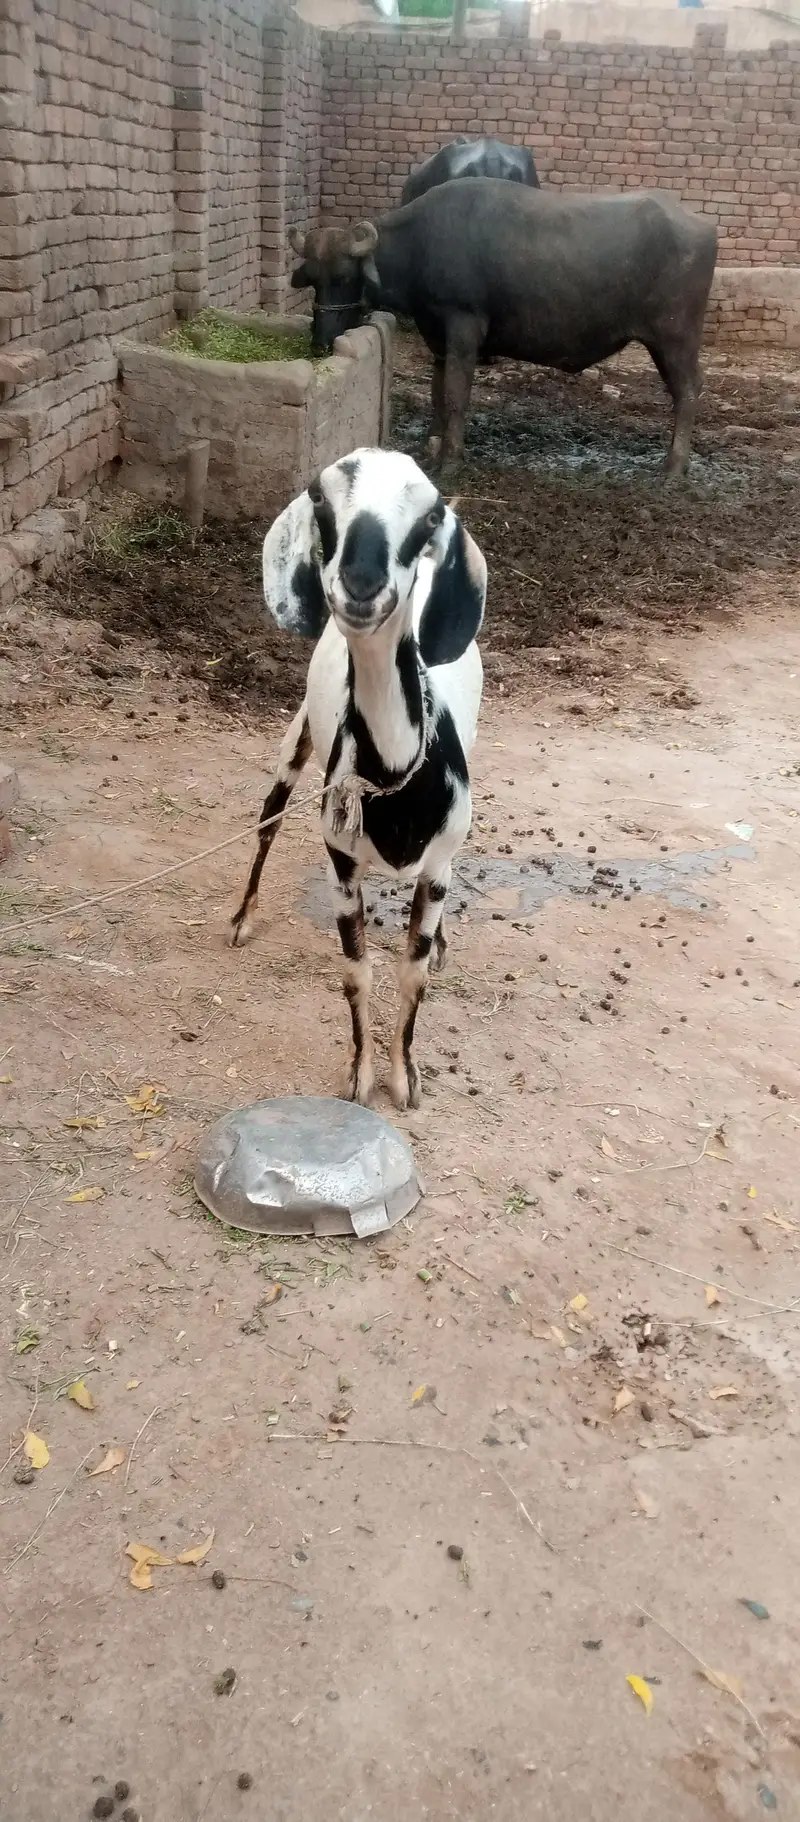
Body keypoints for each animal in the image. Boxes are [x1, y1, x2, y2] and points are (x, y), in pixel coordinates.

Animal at [230, 448, 487, 1111]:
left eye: (431, 515)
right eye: (320, 496)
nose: (361, 584)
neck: (395, 778)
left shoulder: (439, 863)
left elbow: (412, 974)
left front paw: (406, 1077)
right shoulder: (341, 863)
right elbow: (356, 972)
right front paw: (360, 1076)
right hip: (298, 737)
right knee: (268, 818)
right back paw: (242, 917)